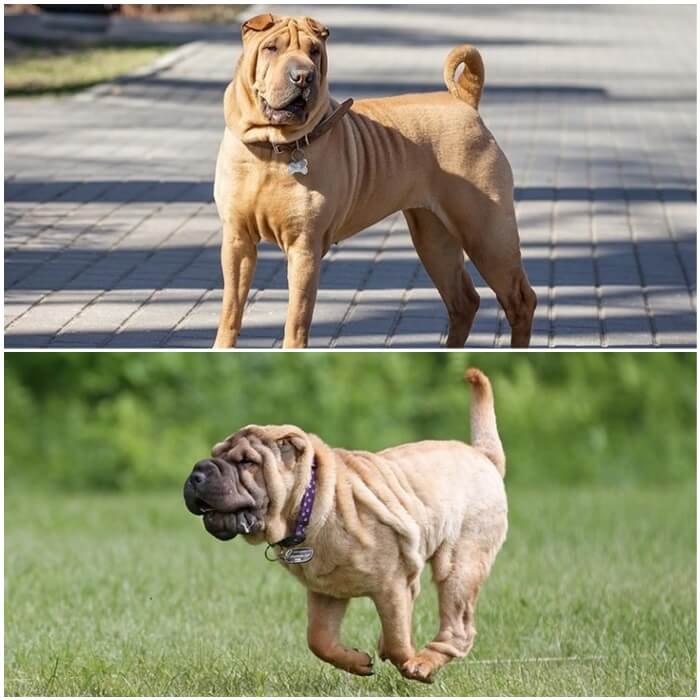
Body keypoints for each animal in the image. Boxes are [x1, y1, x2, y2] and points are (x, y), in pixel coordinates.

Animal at [183, 372, 506, 684]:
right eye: (215, 454)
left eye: (247, 462)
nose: (197, 472)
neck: (312, 504)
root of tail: (483, 456)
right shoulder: (326, 591)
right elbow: (319, 639)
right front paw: (358, 662)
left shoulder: (391, 585)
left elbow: (398, 639)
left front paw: (407, 663)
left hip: (460, 563)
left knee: (458, 628)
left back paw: (423, 664)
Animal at [213, 12, 536, 348]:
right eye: (271, 48)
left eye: (314, 51)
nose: (303, 76)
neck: (273, 150)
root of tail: (465, 102)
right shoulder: (237, 240)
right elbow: (231, 309)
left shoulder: (304, 247)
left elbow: (296, 320)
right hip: (433, 237)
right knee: (464, 301)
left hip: (487, 234)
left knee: (520, 301)